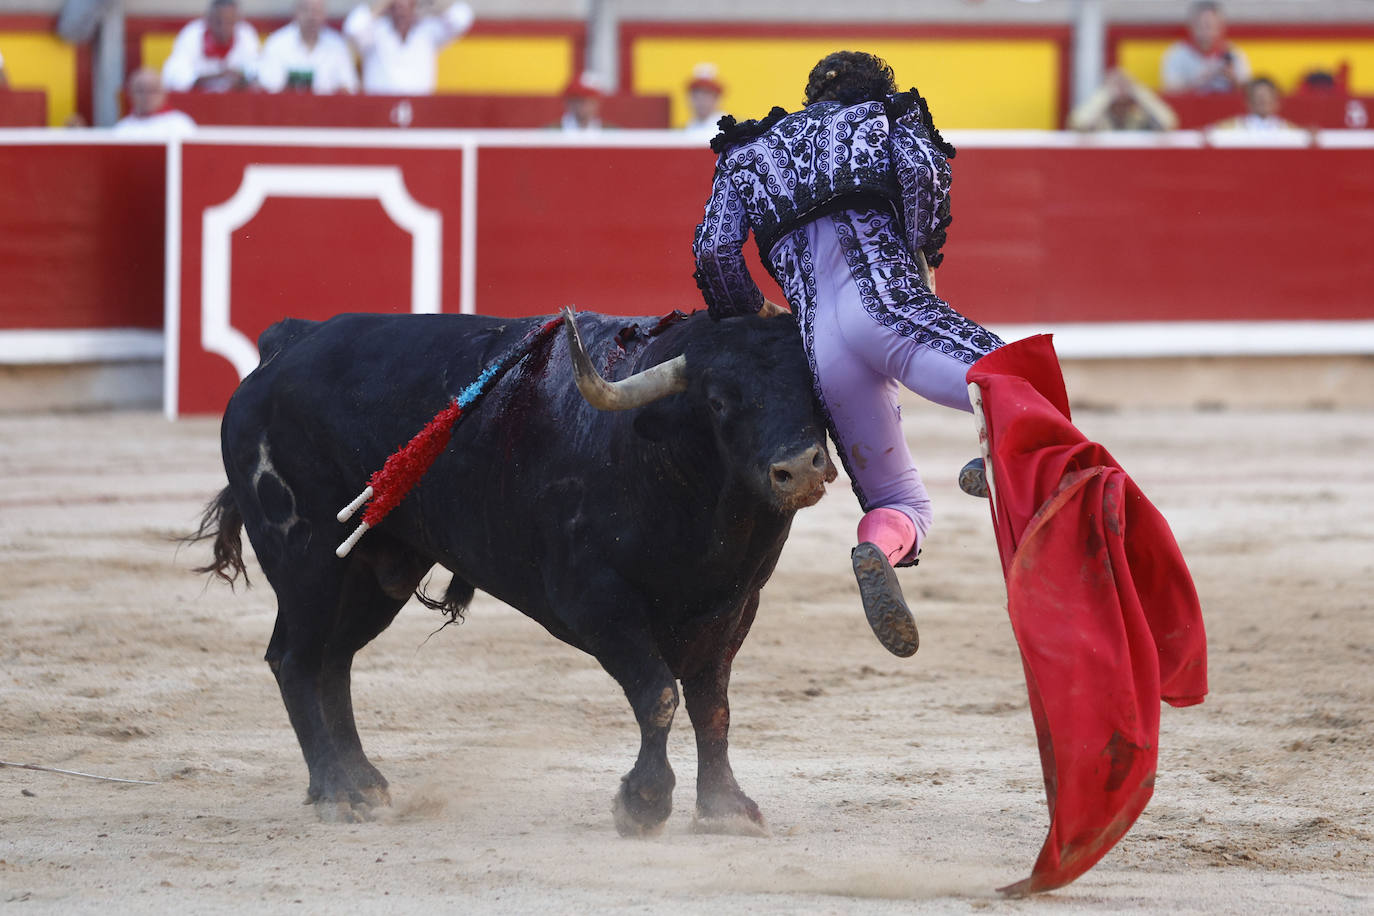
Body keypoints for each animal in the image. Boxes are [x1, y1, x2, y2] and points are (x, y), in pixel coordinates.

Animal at [193, 311, 835, 834]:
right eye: (720, 402)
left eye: (814, 396)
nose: (800, 469)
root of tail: (287, 343)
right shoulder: (594, 600)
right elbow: (658, 693)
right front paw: (644, 803)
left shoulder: (734, 604)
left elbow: (712, 704)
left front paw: (726, 807)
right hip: (306, 561)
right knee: (294, 660)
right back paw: (334, 793)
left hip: (377, 574)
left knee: (334, 660)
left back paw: (362, 783)